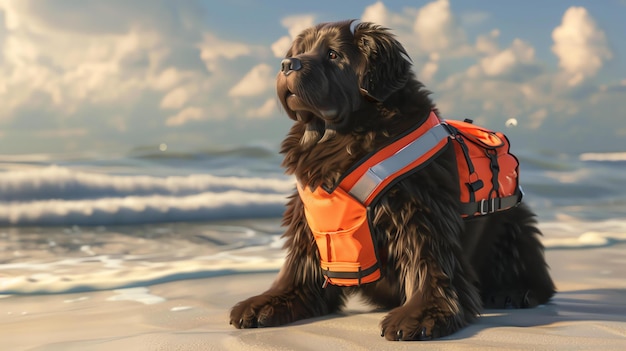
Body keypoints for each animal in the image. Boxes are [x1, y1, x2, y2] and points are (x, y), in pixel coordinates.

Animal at [228, 20, 552, 342]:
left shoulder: (419, 211)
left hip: (513, 226)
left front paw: (423, 315)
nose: (287, 64)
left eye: (333, 55)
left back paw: (515, 291)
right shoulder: (309, 220)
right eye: (299, 51)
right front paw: (267, 303)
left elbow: (427, 262)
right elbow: (299, 269)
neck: (341, 137)